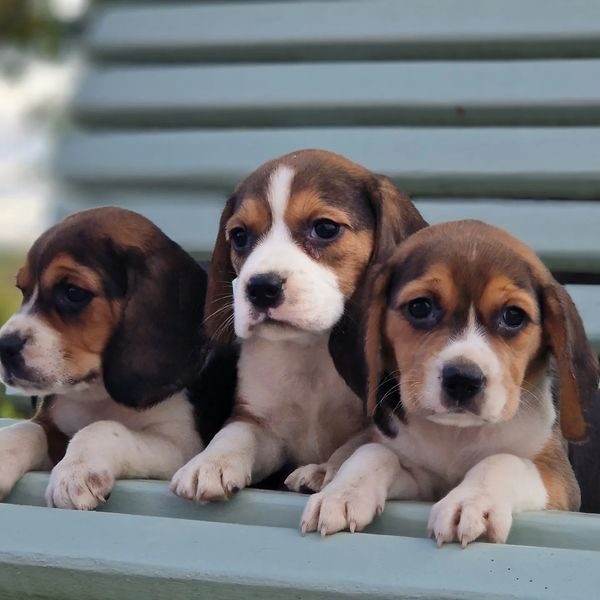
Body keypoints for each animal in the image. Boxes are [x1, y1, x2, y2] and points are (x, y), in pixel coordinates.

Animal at [0, 209, 237, 508]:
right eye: (22, 290)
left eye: (73, 293)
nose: (3, 346)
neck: (98, 395)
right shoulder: (52, 425)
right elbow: (25, 430)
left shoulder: (181, 446)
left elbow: (103, 428)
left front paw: (75, 472)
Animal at [166, 150, 424, 502]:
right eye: (240, 236)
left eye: (325, 228)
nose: (260, 287)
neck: (309, 350)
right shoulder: (259, 422)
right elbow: (234, 435)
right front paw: (209, 462)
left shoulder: (376, 423)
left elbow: (351, 446)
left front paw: (324, 471)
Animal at [300, 219, 596, 544]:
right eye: (420, 307)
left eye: (513, 316)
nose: (463, 380)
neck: (457, 435)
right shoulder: (421, 481)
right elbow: (374, 452)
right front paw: (342, 493)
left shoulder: (558, 478)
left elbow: (502, 460)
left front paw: (471, 501)